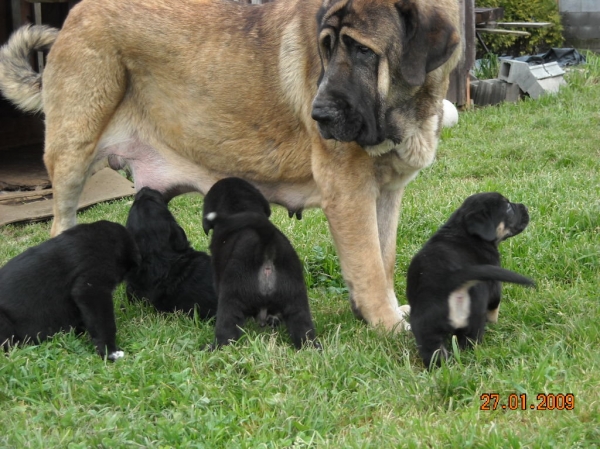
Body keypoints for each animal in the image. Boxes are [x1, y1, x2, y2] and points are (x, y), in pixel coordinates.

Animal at [204, 177, 322, 348]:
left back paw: (214, 347)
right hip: (296, 298)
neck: (240, 207)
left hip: (232, 295)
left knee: (228, 330)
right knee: (303, 328)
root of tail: (266, 242)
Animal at [408, 192, 536, 368]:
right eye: (508, 207)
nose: (525, 207)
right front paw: (495, 324)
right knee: (469, 343)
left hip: (426, 331)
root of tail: (450, 280)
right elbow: (494, 308)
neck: (462, 230)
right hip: (473, 319)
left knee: (434, 354)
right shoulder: (495, 285)